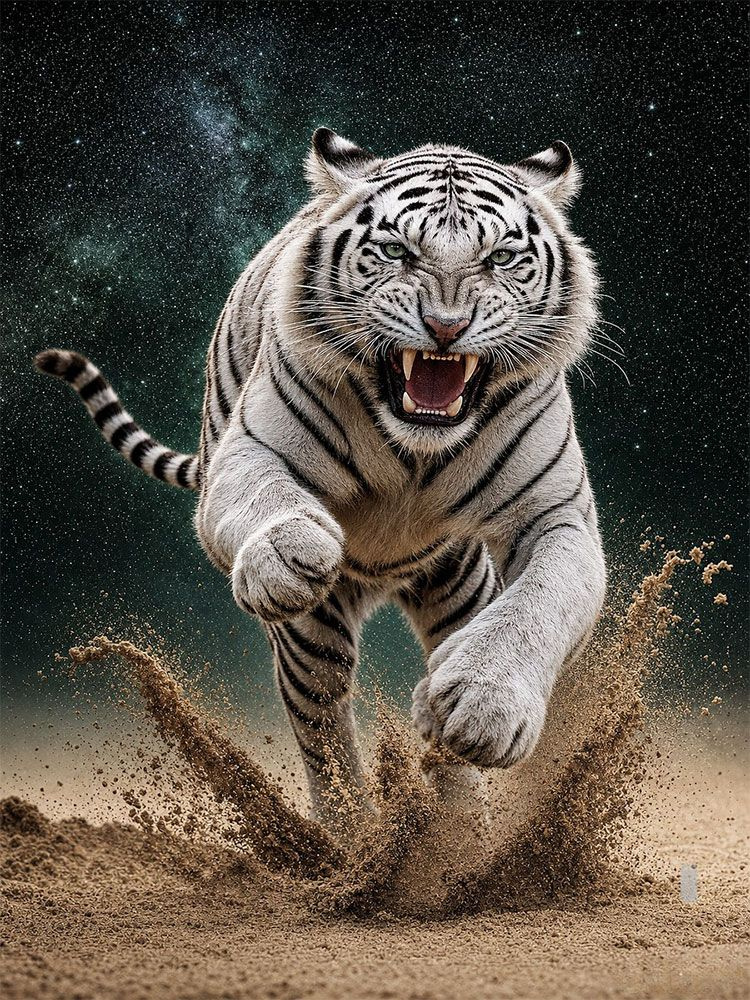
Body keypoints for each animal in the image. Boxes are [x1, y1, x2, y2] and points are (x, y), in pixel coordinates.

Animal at [35, 127, 606, 835]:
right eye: (397, 251)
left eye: (500, 258)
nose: (446, 326)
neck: (416, 449)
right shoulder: (250, 452)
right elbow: (265, 496)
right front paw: (289, 551)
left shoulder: (557, 516)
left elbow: (539, 603)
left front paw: (484, 705)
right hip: (312, 644)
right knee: (324, 730)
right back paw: (352, 843)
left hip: (461, 582)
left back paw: (455, 833)